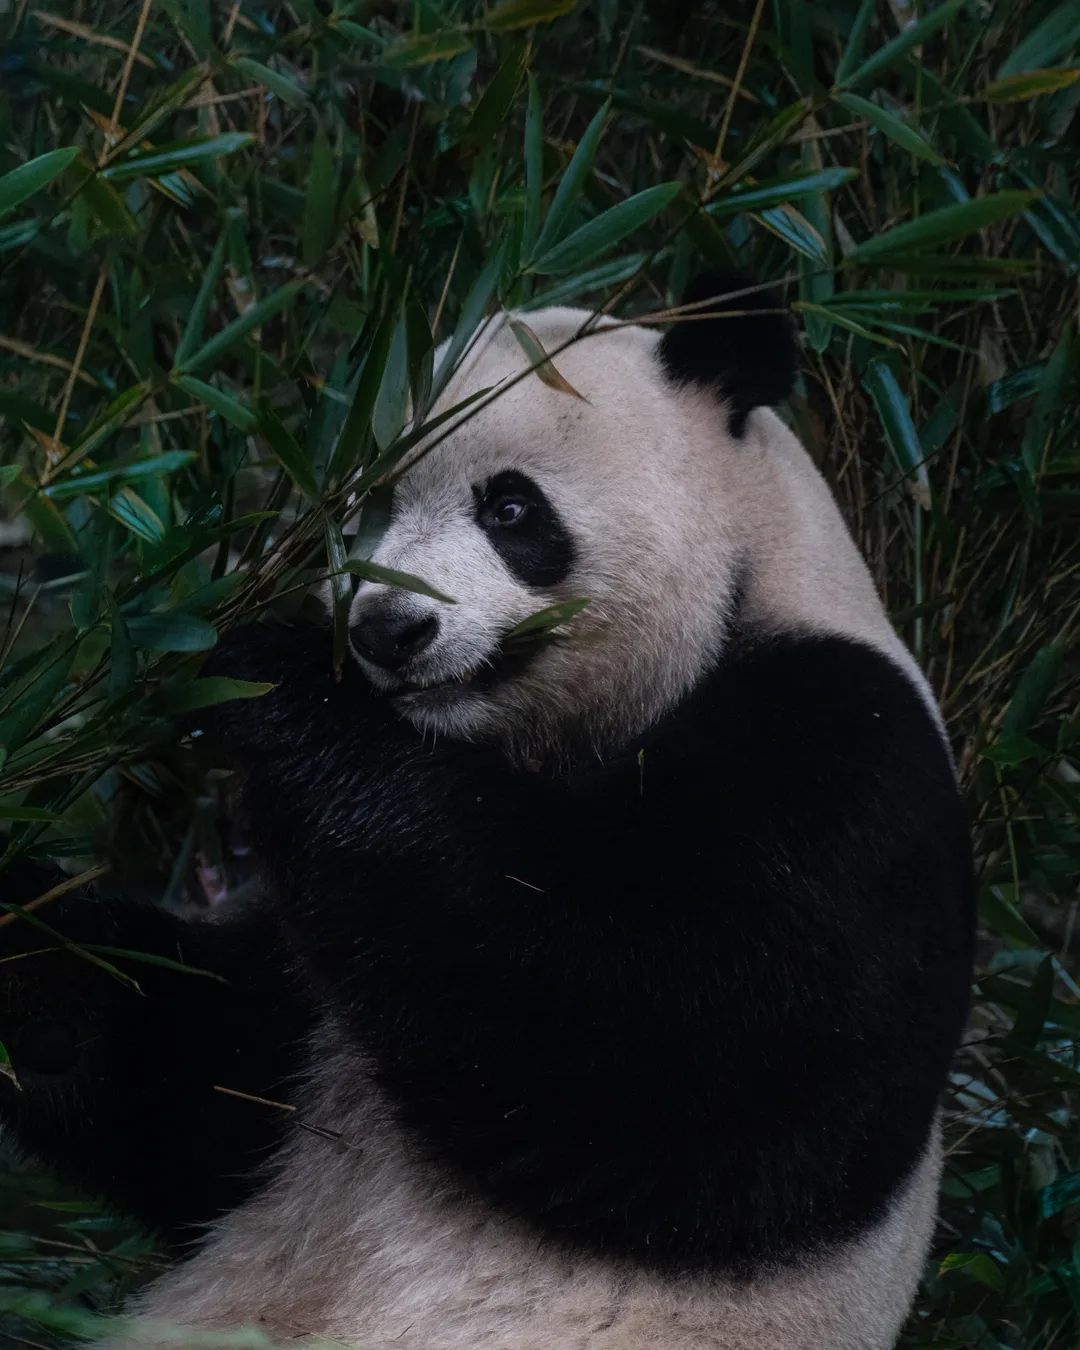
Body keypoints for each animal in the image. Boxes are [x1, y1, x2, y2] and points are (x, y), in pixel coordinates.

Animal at [0, 276, 972, 1350]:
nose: (388, 629)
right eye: (371, 507)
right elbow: (201, 1078)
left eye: (510, 508)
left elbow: (656, 1043)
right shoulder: (316, 1005)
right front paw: (24, 945)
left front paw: (278, 683)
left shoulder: (842, 764)